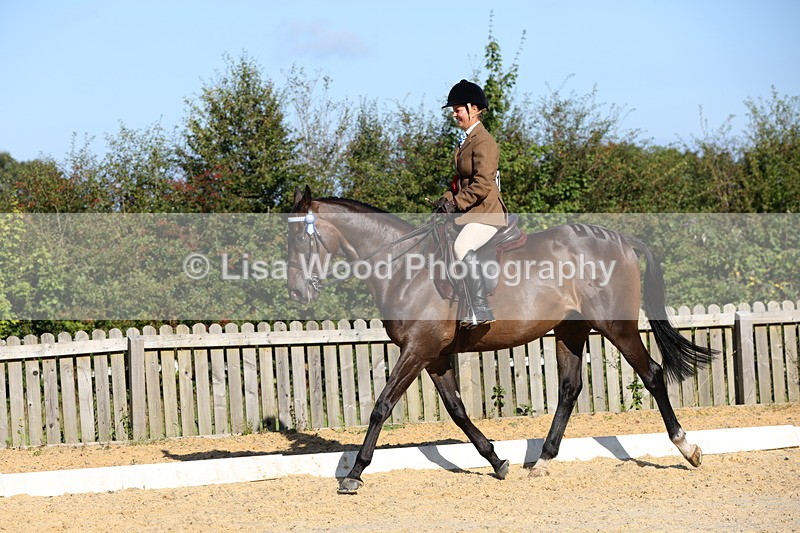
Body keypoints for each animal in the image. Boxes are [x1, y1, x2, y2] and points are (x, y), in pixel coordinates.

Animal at [286, 186, 714, 494]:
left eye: (300, 240)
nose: (297, 292)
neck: (403, 267)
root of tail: (622, 240)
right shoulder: (434, 355)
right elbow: (458, 411)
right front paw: (497, 461)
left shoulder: (418, 349)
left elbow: (382, 406)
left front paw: (354, 474)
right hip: (570, 330)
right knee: (569, 388)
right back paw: (542, 461)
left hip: (616, 327)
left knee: (652, 374)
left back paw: (688, 448)